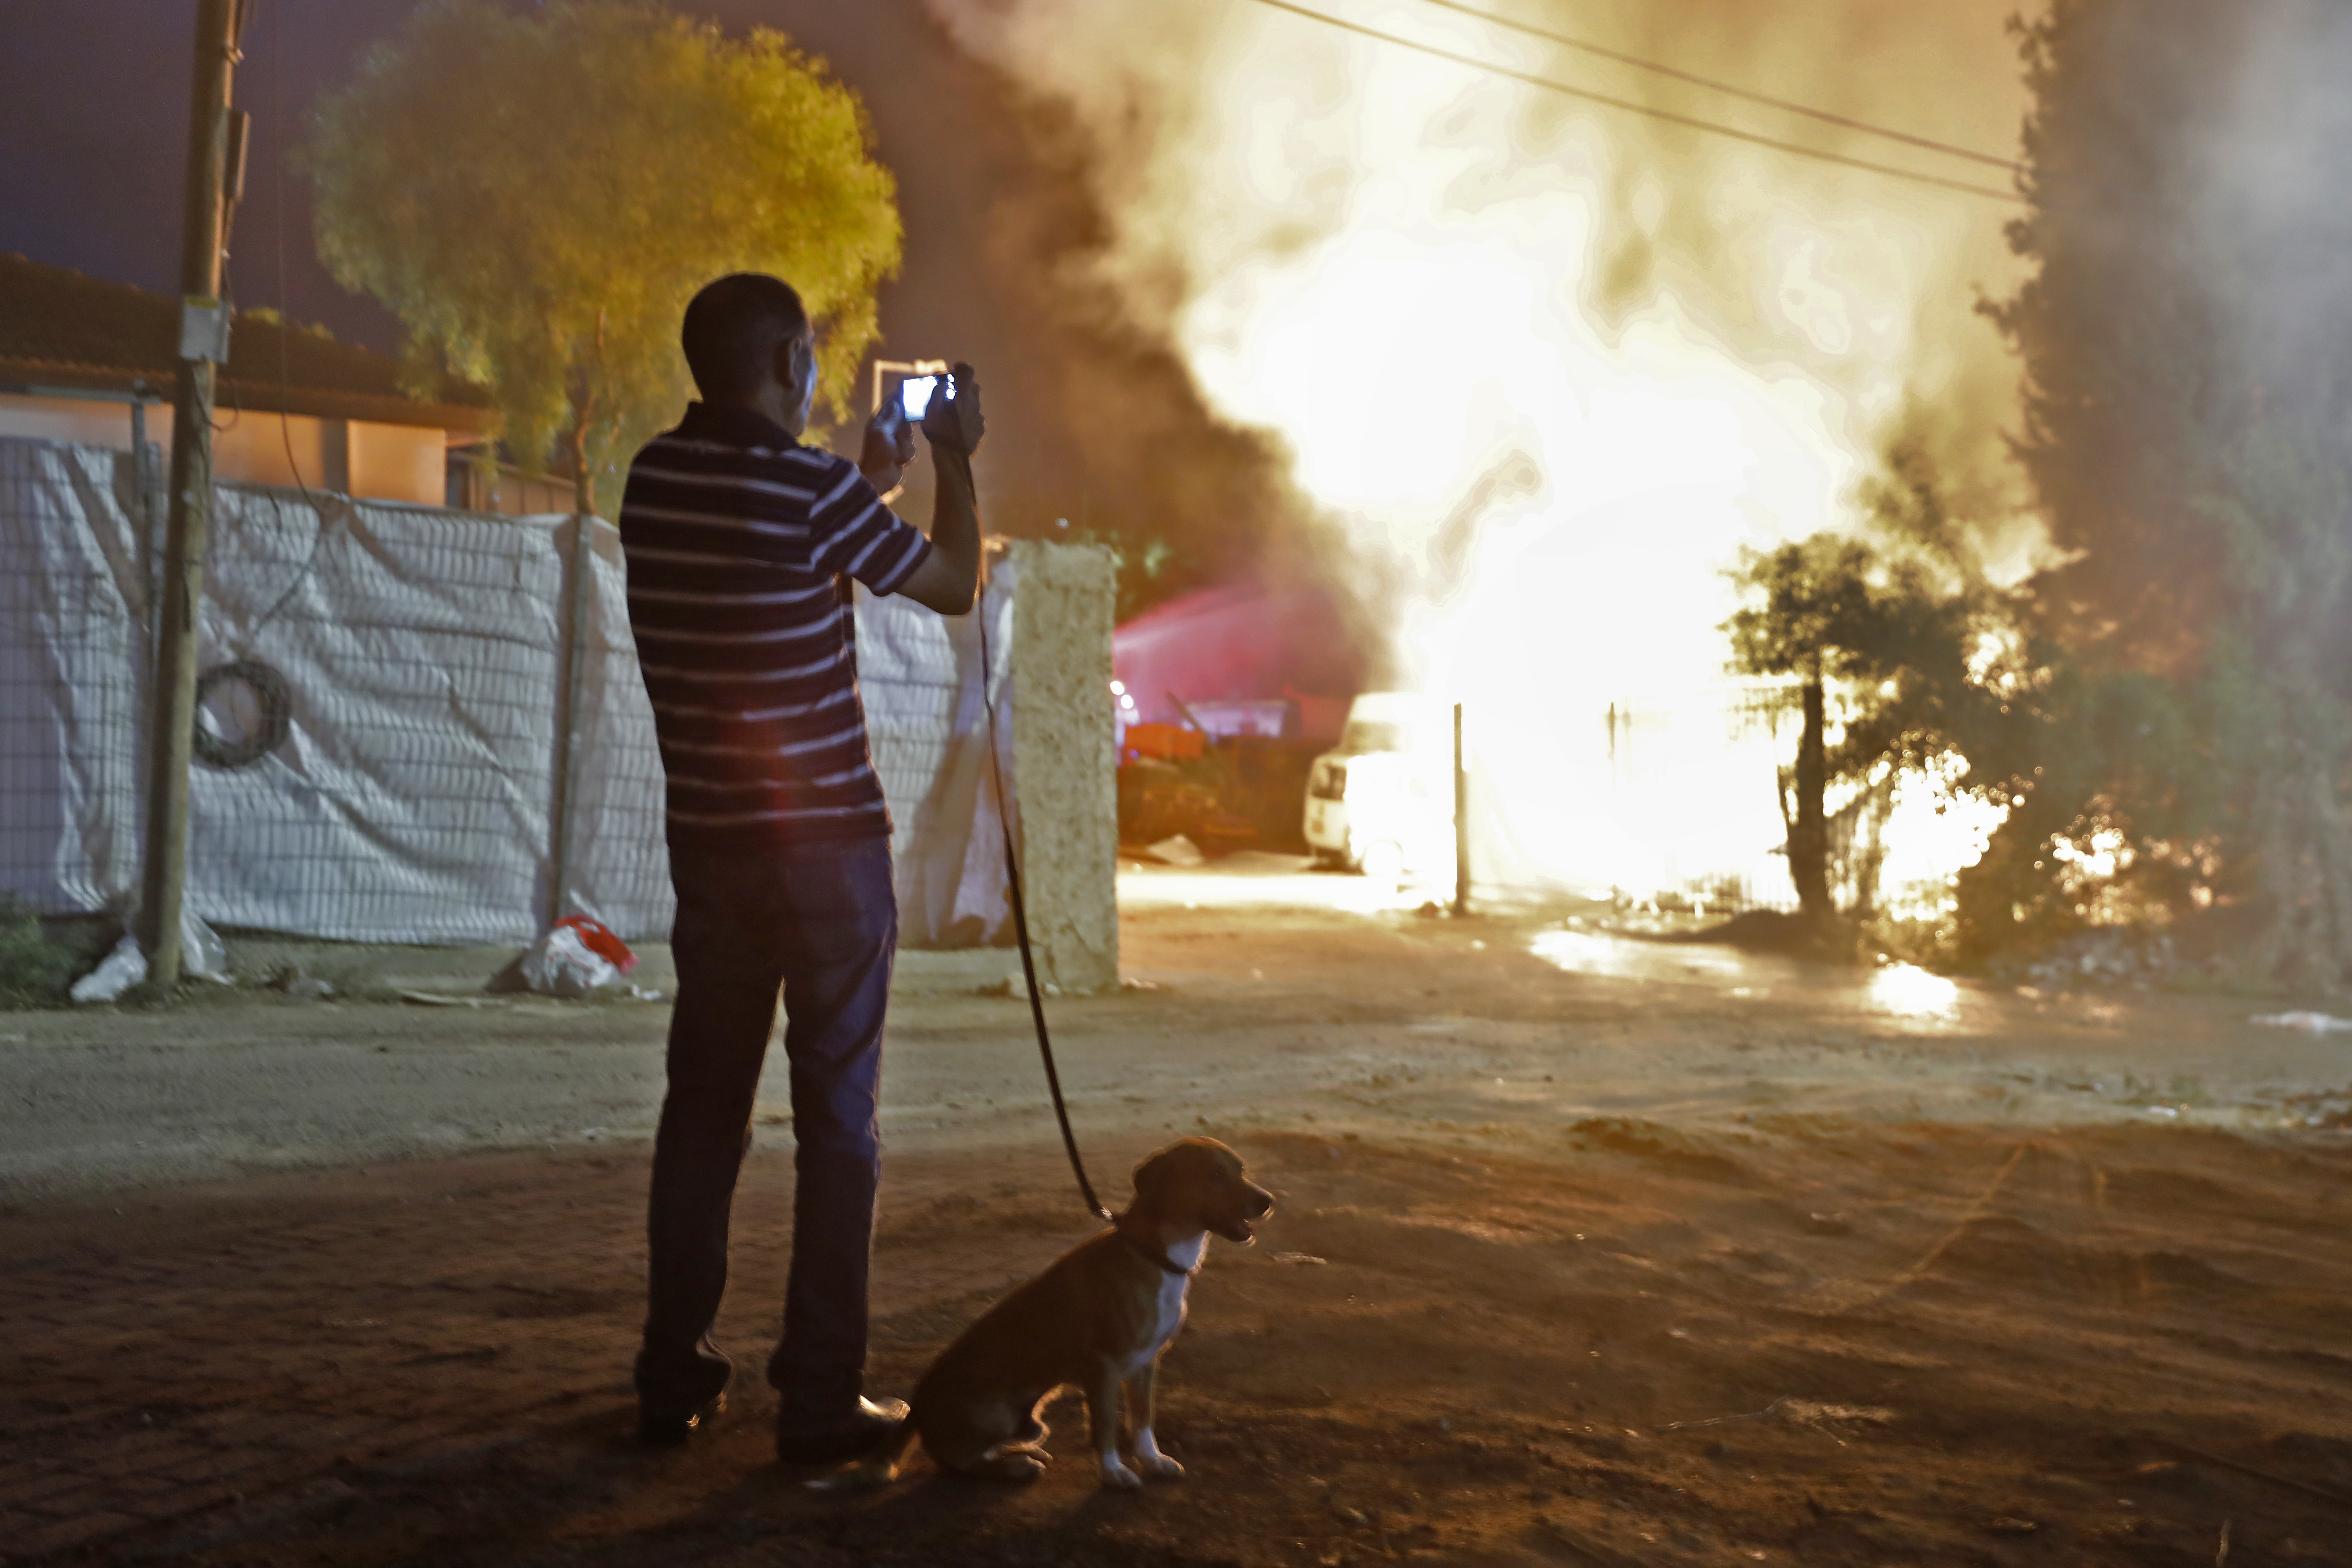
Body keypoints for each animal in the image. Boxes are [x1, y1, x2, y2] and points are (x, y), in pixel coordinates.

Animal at [875, 1142, 1270, 1485]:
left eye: (1241, 1169)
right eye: (1214, 1174)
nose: (1269, 1201)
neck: (1152, 1255)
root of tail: (917, 1410)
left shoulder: (1145, 1363)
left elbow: (1143, 1420)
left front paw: (1153, 1460)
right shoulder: (1103, 1368)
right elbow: (1106, 1425)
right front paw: (1114, 1473)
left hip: (1032, 1421)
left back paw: (1022, 1453)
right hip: (995, 1412)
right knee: (958, 1462)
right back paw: (1017, 1466)